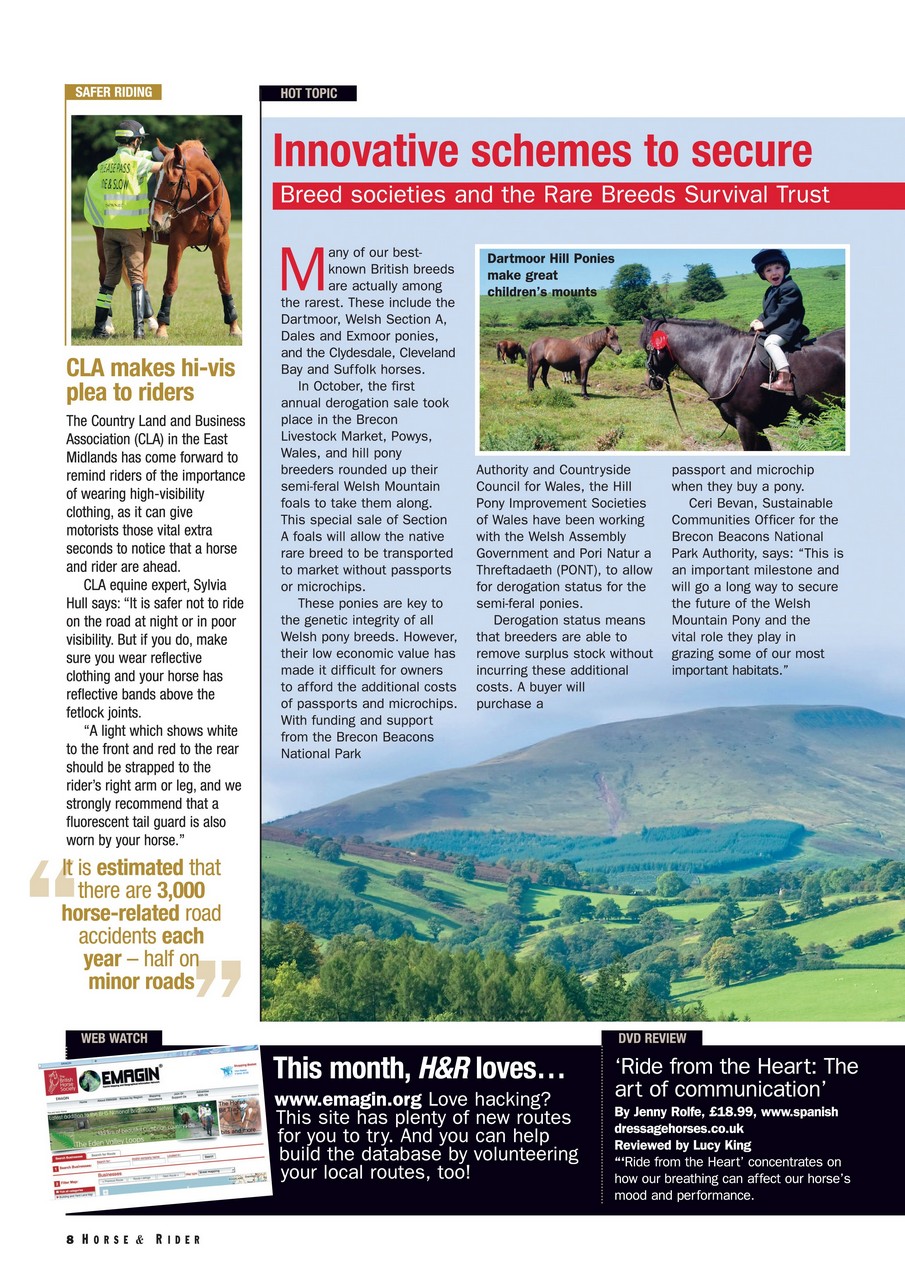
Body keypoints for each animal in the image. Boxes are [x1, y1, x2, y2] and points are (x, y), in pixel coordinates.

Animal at [149, 141, 241, 340]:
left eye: (171, 182)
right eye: (156, 178)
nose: (154, 220)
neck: (207, 203)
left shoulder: (221, 244)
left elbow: (224, 282)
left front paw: (234, 326)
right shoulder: (177, 243)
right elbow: (170, 283)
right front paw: (162, 328)